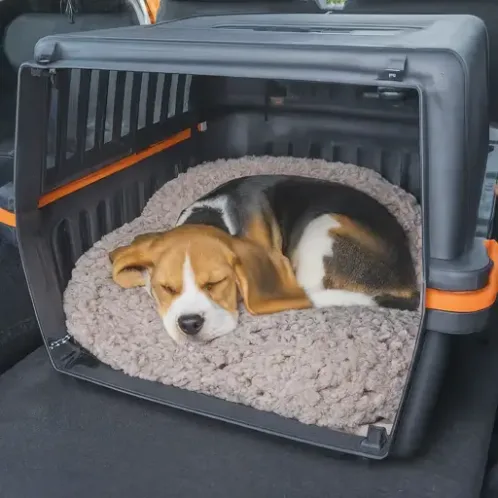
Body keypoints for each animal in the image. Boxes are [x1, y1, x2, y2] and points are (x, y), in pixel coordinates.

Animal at [110, 174, 420, 342]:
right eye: (166, 289)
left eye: (216, 283)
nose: (189, 324)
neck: (213, 214)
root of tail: (409, 283)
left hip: (322, 226)